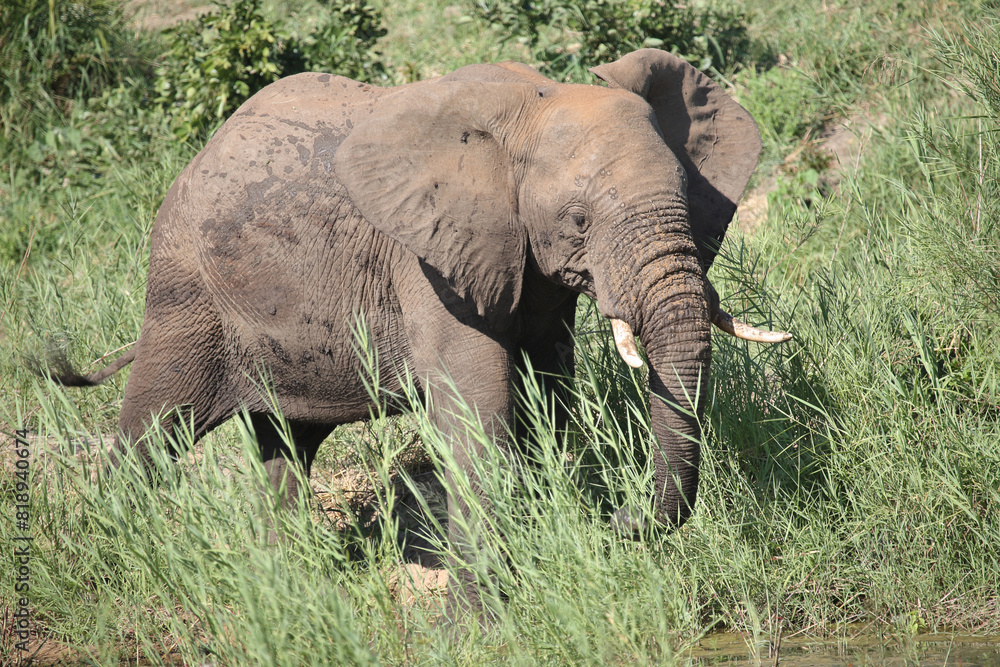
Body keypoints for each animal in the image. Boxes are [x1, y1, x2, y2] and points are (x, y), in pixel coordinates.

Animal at [49, 49, 790, 616]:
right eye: (579, 219)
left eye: (685, 196)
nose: (621, 522)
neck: (535, 103)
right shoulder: (428, 263)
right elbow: (479, 411)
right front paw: (479, 626)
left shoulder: (525, 266)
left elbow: (547, 394)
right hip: (186, 297)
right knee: (154, 430)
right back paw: (114, 559)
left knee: (286, 445)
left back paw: (289, 586)